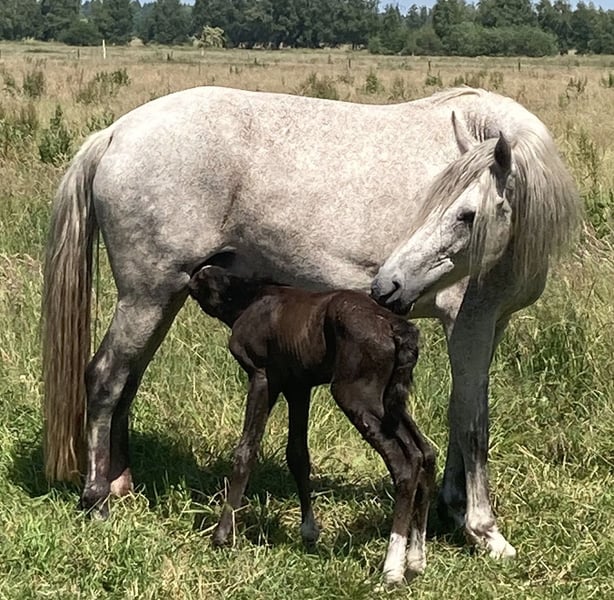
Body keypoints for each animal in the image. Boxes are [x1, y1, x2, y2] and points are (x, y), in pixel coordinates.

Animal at [187, 265, 435, 585]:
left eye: (202, 279)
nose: (189, 281)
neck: (247, 298)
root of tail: (395, 326)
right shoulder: (298, 386)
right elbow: (298, 455)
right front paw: (308, 531)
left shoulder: (262, 377)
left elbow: (246, 451)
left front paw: (222, 534)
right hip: (389, 402)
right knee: (425, 453)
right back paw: (416, 559)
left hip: (355, 395)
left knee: (405, 462)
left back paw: (391, 569)